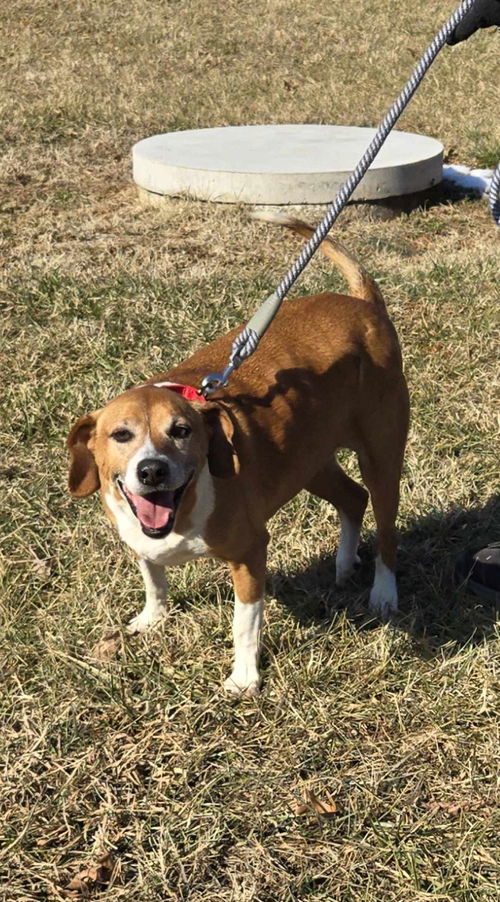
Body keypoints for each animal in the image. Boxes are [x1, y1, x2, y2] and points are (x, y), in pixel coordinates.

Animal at [67, 217, 410, 700]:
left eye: (182, 431)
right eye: (121, 434)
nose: (152, 470)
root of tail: (363, 304)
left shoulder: (250, 552)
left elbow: (244, 623)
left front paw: (245, 678)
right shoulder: (139, 538)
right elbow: (154, 578)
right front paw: (153, 619)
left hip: (381, 454)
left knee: (385, 527)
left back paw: (383, 593)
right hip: (309, 461)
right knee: (352, 497)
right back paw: (344, 566)